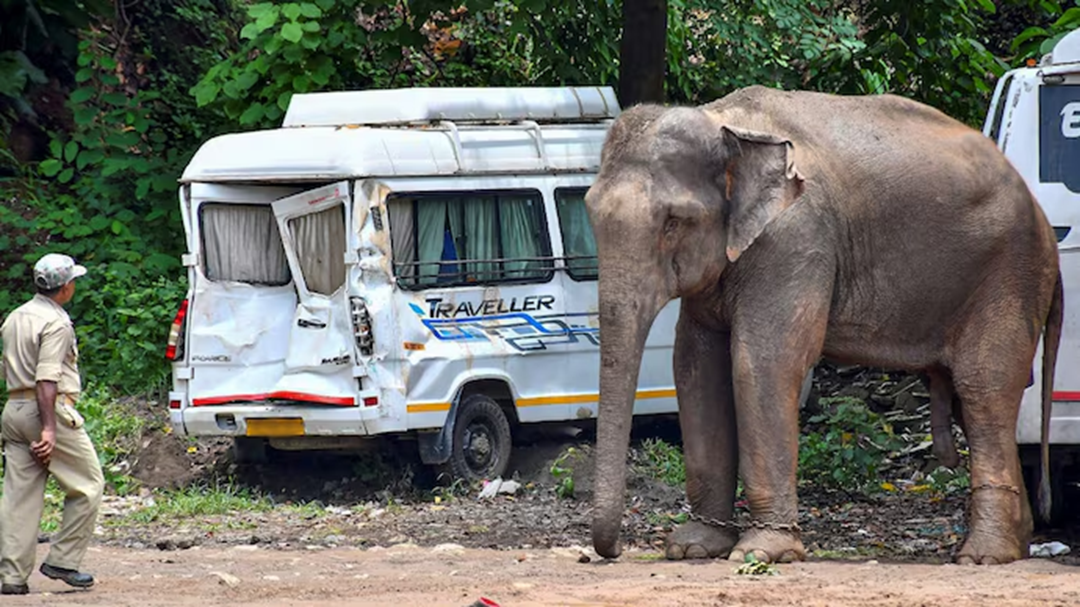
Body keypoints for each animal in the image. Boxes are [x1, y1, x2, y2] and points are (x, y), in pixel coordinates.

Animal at [587, 85, 1058, 561]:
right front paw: (695, 548)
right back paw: (1014, 543)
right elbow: (695, 367)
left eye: (673, 222)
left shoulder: (796, 238)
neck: (725, 123)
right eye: (590, 214)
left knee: (984, 388)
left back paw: (983, 556)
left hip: (1010, 273)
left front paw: (763, 553)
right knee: (972, 400)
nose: (613, 552)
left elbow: (762, 363)